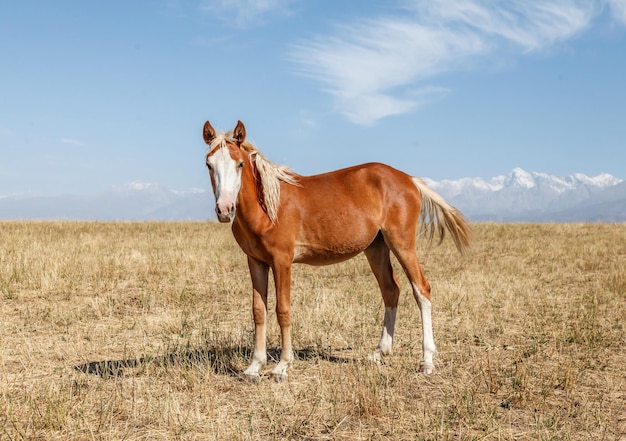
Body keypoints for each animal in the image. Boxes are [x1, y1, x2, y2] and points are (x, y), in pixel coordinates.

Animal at [201, 118, 468, 380]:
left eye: (240, 164)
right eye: (209, 164)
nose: (225, 209)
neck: (268, 206)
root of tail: (409, 179)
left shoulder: (281, 261)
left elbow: (282, 310)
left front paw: (282, 366)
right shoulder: (255, 262)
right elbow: (258, 311)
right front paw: (255, 366)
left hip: (402, 243)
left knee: (421, 289)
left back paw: (427, 362)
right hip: (376, 248)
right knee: (391, 290)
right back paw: (379, 352)